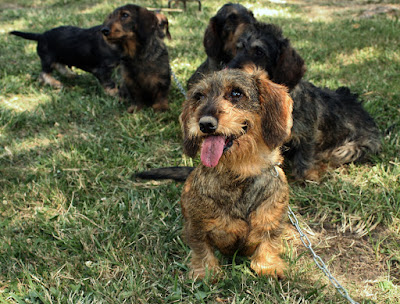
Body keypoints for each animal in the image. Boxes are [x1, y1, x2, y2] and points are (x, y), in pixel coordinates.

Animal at [176, 67, 294, 280]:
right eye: (199, 96)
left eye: (236, 93)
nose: (205, 124)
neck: (240, 172)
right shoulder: (197, 227)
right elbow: (201, 248)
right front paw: (205, 271)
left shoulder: (271, 222)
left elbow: (269, 242)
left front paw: (268, 265)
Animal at [228, 21, 382, 180]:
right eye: (239, 48)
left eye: (259, 52)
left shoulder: (309, 134)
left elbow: (305, 158)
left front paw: (309, 175)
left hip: (349, 150)